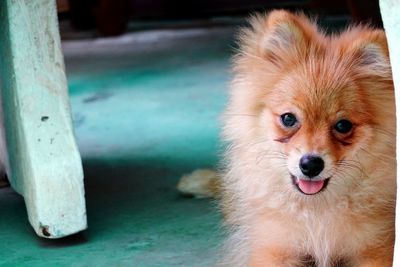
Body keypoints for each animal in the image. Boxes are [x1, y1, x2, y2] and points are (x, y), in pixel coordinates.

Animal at [220, 9, 396, 266]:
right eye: (288, 119)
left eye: (343, 125)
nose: (311, 164)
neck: (315, 210)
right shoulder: (276, 248)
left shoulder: (375, 249)